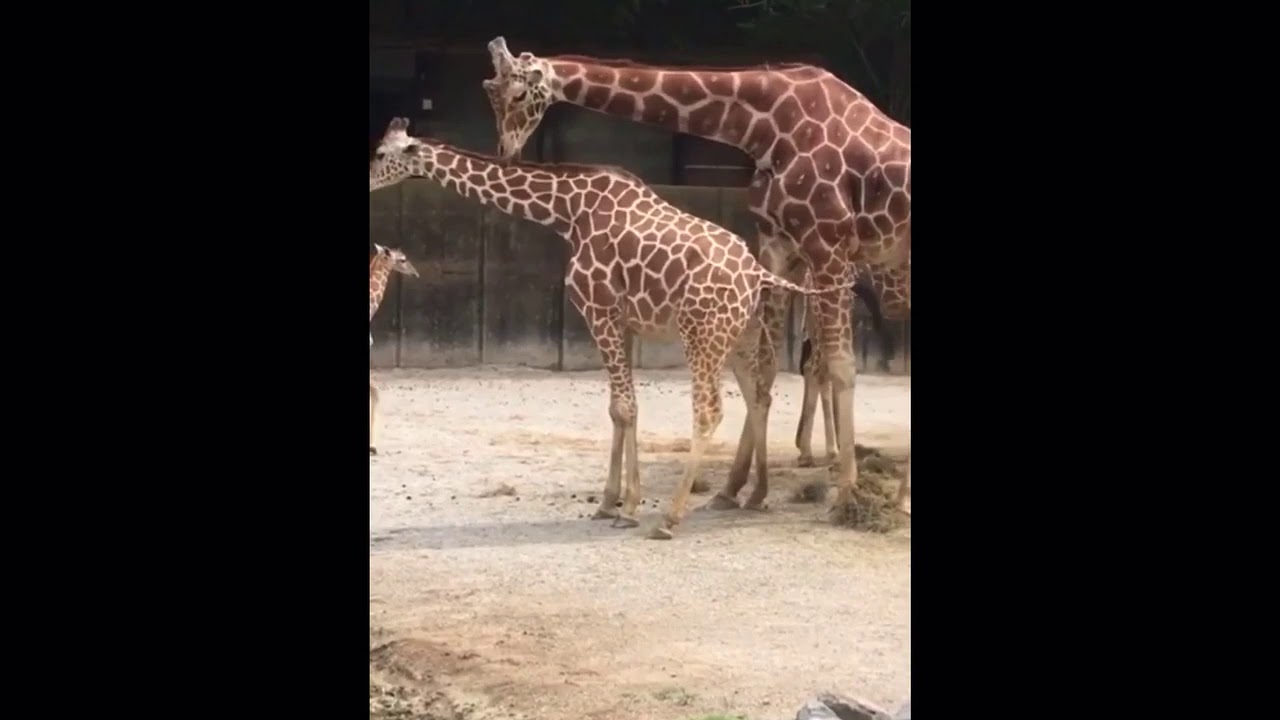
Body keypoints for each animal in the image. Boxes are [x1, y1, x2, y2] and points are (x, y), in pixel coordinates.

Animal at [368, 117, 855, 539]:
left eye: (378, 153)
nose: (367, 180)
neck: (567, 211)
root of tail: (757, 273)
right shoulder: (623, 321)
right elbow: (621, 409)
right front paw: (609, 502)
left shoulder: (597, 310)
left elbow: (623, 408)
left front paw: (630, 507)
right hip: (741, 336)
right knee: (759, 395)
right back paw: (752, 495)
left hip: (702, 336)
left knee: (710, 411)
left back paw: (671, 517)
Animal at [482, 38, 911, 519]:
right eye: (490, 92)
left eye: (519, 94)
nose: (506, 152)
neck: (764, 125)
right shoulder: (779, 245)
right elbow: (765, 371)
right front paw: (741, 489)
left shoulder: (829, 246)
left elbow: (838, 365)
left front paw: (846, 494)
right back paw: (897, 496)